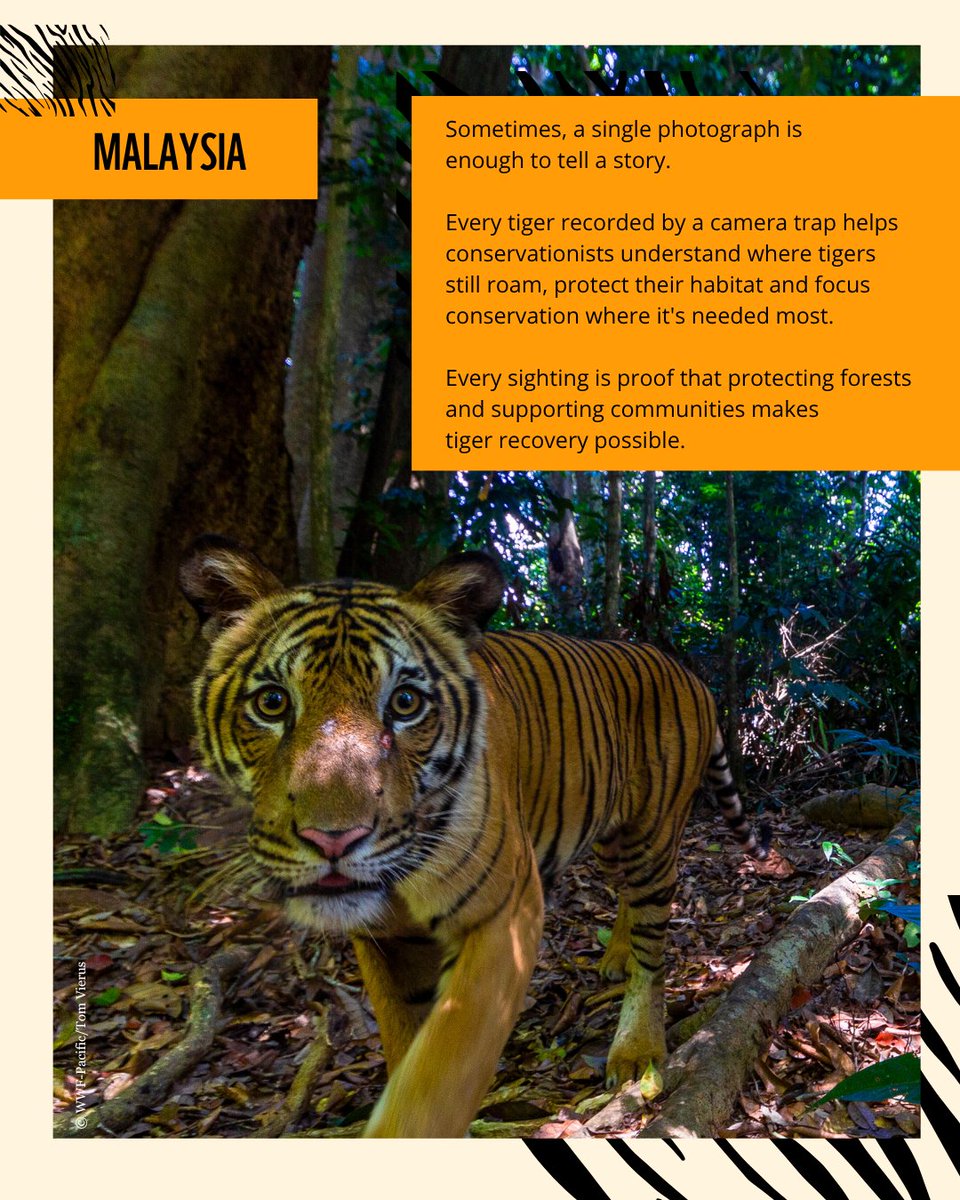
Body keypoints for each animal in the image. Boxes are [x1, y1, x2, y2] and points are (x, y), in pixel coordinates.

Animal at [180, 535, 769, 1138]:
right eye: (272, 703)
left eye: (405, 703)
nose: (333, 840)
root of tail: (684, 669)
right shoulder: (381, 941)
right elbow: (403, 1042)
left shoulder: (504, 916)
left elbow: (440, 1072)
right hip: (610, 834)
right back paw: (617, 956)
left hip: (652, 836)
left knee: (653, 949)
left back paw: (636, 1050)